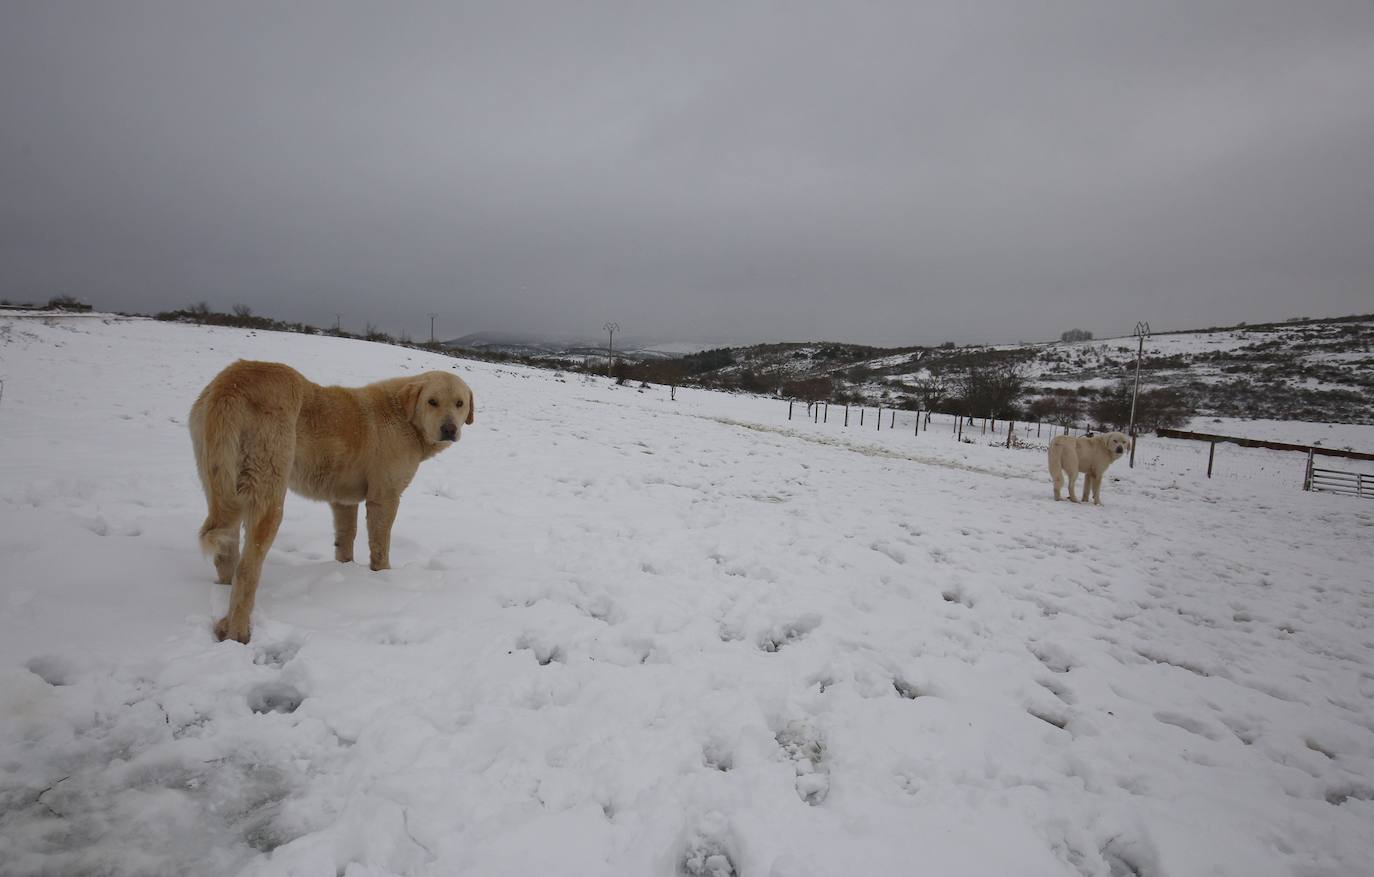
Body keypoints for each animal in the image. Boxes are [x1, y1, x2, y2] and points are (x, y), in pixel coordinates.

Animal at [190, 360, 475, 643]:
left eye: (459, 403)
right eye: (432, 401)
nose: (450, 429)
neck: (404, 416)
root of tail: (230, 384)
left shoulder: (344, 500)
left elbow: (346, 538)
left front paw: (345, 570)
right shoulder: (385, 497)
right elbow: (380, 544)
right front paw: (382, 577)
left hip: (221, 485)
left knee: (226, 556)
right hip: (268, 494)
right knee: (247, 570)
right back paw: (238, 631)